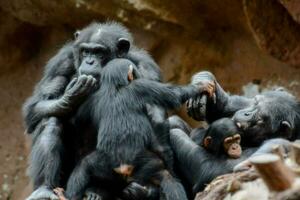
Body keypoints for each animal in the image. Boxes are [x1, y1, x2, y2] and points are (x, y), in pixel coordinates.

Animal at [22, 21, 172, 200]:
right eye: (86, 51)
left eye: (99, 52)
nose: (89, 62)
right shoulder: (61, 62)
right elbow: (37, 104)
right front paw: (71, 97)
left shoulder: (146, 67)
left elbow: (156, 114)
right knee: (50, 120)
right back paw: (44, 189)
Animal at [64, 58, 211, 200]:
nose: (137, 74)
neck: (115, 86)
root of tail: (123, 168)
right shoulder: (142, 87)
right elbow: (173, 97)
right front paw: (202, 86)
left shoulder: (90, 102)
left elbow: (77, 122)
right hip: (145, 163)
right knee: (167, 177)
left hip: (104, 165)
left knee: (82, 167)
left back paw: (72, 195)